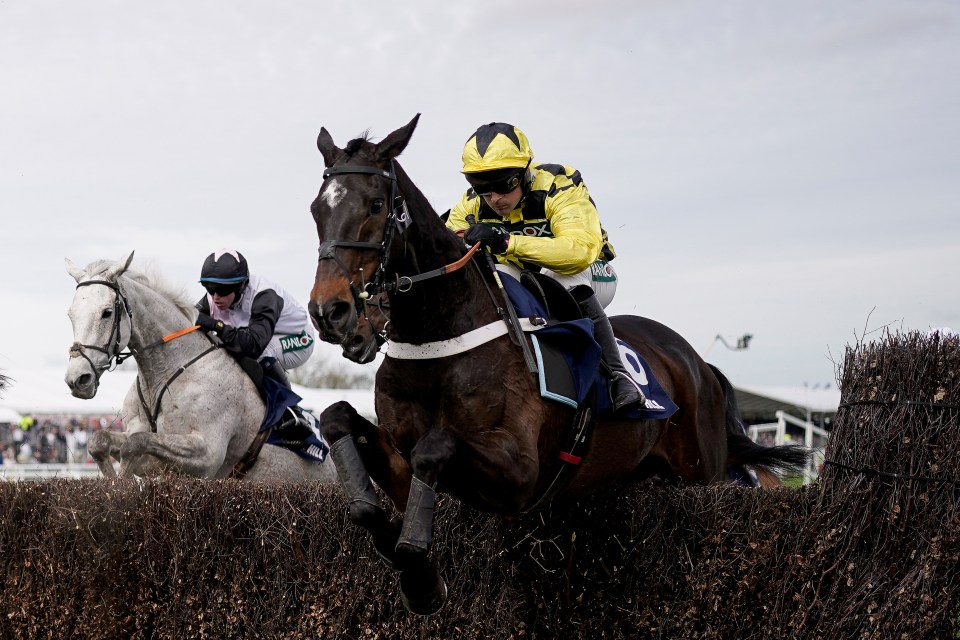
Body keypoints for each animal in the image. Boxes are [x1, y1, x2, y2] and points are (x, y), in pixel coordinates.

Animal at [62, 252, 338, 482]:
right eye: (71, 314)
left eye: (107, 312)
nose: (78, 379)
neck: (163, 374)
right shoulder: (137, 435)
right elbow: (100, 441)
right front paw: (113, 483)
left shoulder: (206, 454)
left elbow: (135, 444)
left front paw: (122, 486)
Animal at [310, 116, 808, 616]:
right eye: (316, 210)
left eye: (376, 205)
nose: (329, 312)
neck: (441, 338)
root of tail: (701, 365)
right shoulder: (402, 462)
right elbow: (338, 423)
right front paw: (407, 561)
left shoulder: (520, 474)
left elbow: (435, 446)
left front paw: (421, 579)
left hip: (703, 473)